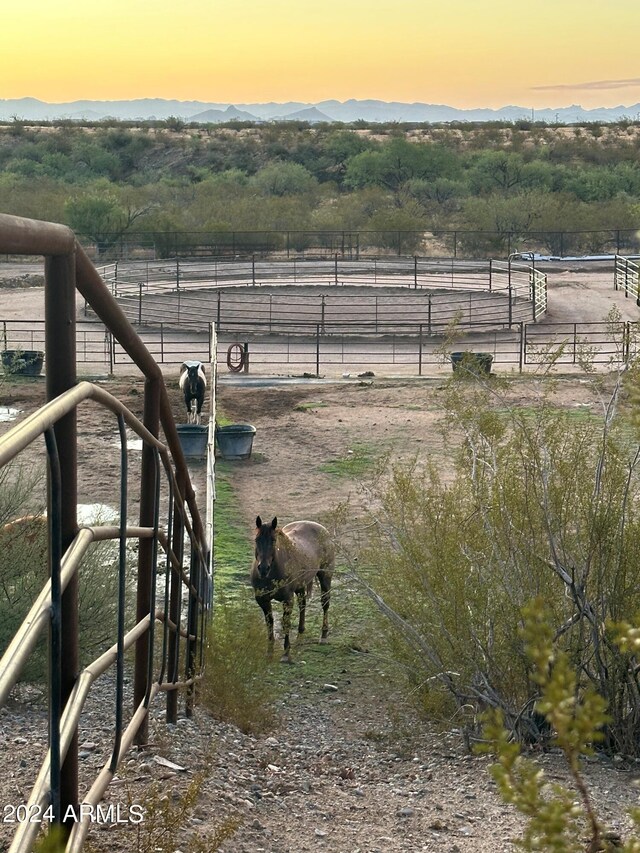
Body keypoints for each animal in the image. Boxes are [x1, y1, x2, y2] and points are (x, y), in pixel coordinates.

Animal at [251, 516, 336, 664]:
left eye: (273, 540)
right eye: (257, 539)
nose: (263, 568)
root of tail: (323, 530)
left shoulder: (287, 599)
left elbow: (286, 623)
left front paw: (286, 654)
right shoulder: (262, 600)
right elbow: (269, 623)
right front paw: (269, 652)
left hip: (325, 576)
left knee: (325, 603)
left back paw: (323, 636)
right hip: (301, 586)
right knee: (303, 604)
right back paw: (301, 632)